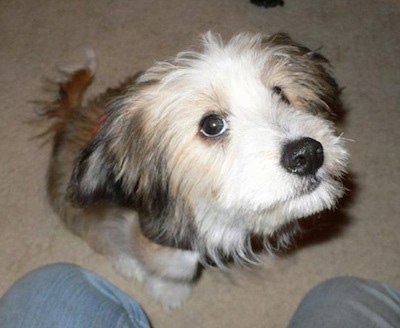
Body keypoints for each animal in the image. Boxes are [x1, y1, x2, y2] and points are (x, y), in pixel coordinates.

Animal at [38, 32, 350, 308]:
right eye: (212, 125)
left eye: (280, 94)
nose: (307, 154)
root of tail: (71, 119)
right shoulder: (158, 238)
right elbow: (171, 266)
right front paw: (168, 291)